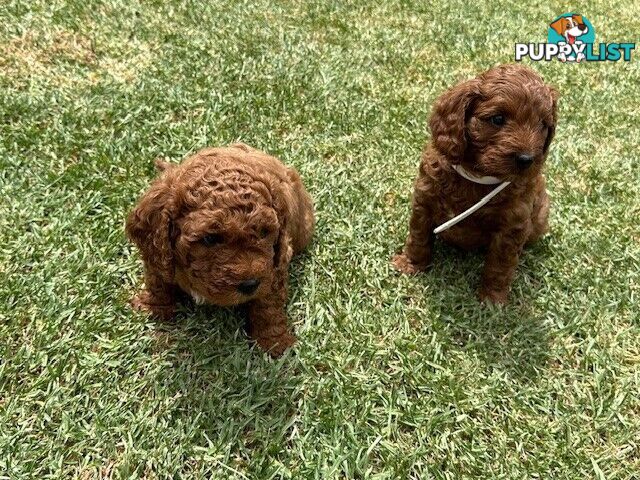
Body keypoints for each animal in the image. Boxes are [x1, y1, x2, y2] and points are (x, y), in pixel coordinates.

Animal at [125, 143, 316, 356]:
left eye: (264, 232)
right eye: (210, 239)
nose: (250, 284)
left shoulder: (275, 265)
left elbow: (268, 304)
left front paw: (274, 341)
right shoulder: (158, 253)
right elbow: (157, 279)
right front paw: (153, 305)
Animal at [388, 63, 556, 304]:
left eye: (542, 124)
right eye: (497, 119)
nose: (527, 160)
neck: (477, 175)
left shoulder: (513, 225)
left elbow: (500, 264)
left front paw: (492, 298)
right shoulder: (424, 199)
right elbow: (418, 237)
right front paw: (411, 265)